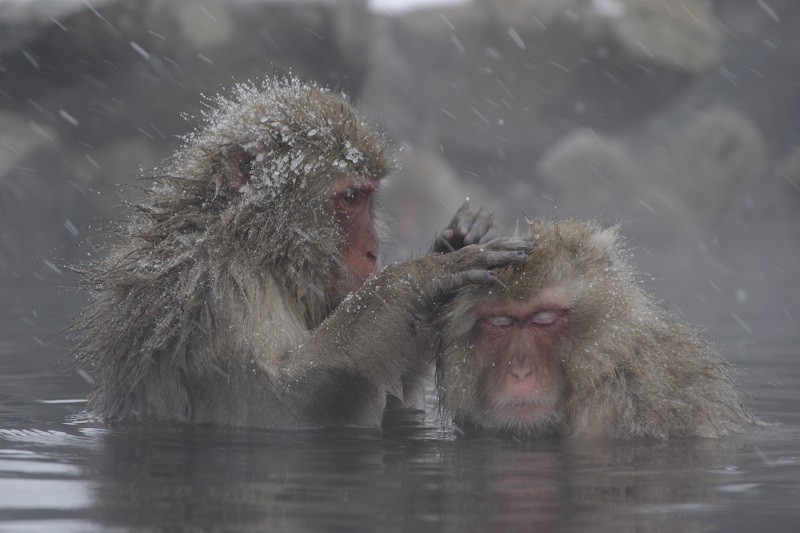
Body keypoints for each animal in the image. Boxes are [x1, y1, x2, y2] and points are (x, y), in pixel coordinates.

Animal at [71, 78, 533, 429]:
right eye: (350, 198)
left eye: (368, 197)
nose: (373, 251)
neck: (255, 244)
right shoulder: (215, 291)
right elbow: (279, 407)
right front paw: (426, 275)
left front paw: (463, 236)